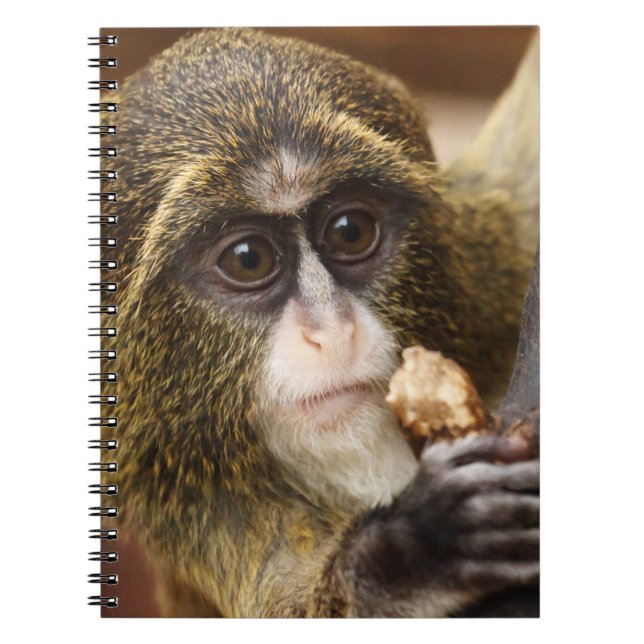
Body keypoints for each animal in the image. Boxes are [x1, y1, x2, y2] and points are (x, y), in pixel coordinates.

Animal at [100, 28, 539, 617]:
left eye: (350, 231)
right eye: (248, 259)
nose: (332, 331)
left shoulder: (491, 257)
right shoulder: (194, 506)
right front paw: (416, 545)